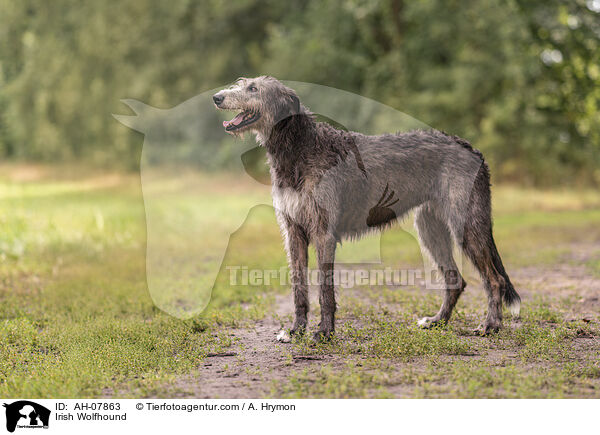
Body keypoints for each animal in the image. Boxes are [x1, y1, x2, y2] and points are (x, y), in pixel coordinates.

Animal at [214, 76, 520, 342]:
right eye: (244, 83)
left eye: (253, 88)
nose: (217, 97)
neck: (300, 146)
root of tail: (472, 149)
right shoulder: (294, 231)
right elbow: (298, 288)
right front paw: (296, 330)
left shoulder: (324, 232)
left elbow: (325, 289)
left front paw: (325, 332)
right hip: (429, 228)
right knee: (455, 279)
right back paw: (438, 321)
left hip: (465, 225)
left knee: (494, 279)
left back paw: (490, 325)